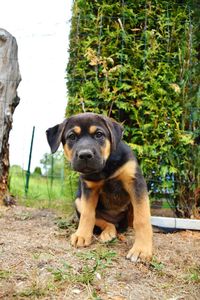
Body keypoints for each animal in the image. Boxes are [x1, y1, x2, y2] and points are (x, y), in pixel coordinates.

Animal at [47, 113, 152, 262]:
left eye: (99, 134)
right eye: (72, 136)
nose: (85, 155)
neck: (105, 167)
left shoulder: (135, 182)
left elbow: (141, 218)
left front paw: (142, 249)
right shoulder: (88, 188)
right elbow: (87, 214)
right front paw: (82, 235)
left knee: (131, 222)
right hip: (78, 201)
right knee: (104, 222)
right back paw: (108, 233)